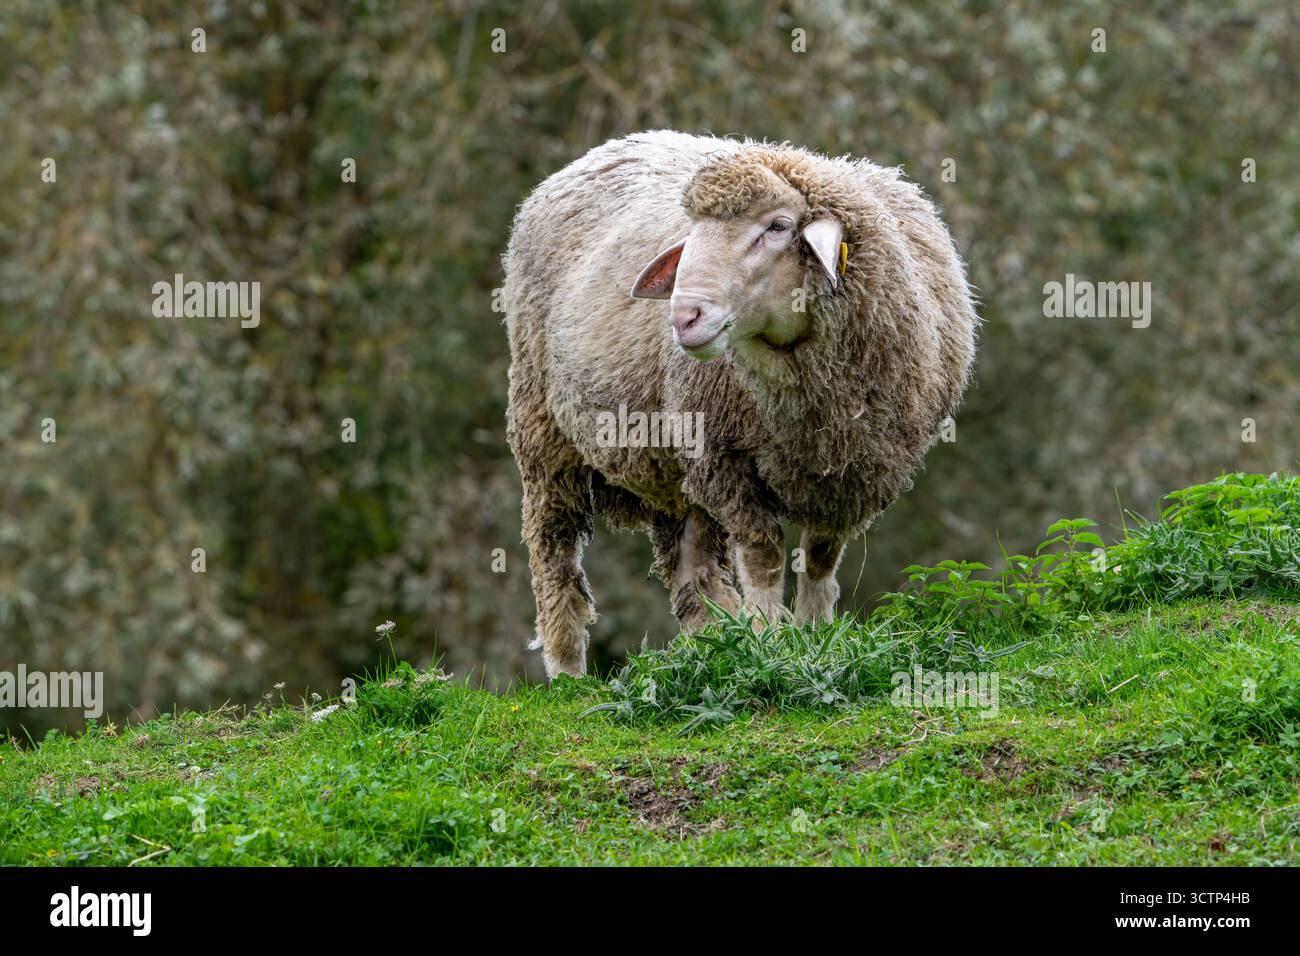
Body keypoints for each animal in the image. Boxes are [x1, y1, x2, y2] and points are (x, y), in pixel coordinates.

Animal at [503, 130, 977, 678]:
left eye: (778, 226)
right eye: (693, 229)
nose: (684, 316)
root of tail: (606, 148)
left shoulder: (851, 474)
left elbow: (820, 557)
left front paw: (814, 634)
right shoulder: (726, 459)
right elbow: (764, 555)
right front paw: (769, 640)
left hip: (672, 468)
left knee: (692, 565)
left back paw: (713, 639)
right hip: (544, 428)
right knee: (554, 550)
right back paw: (568, 672)